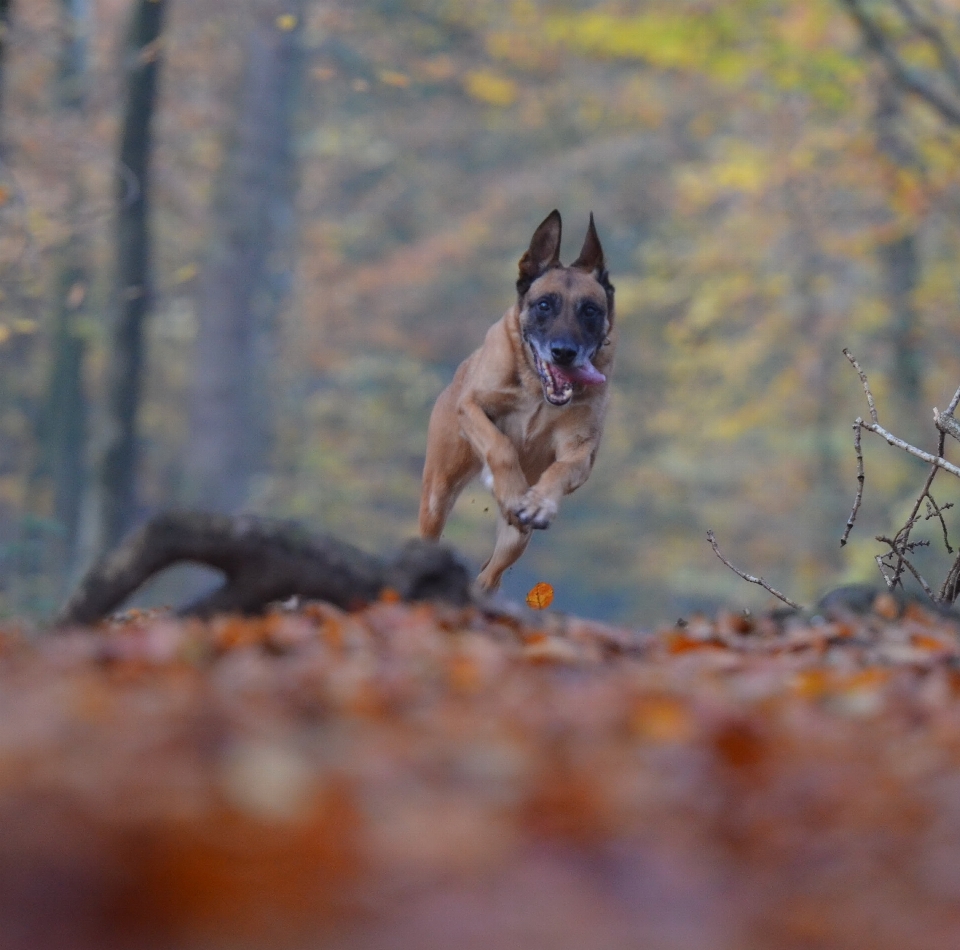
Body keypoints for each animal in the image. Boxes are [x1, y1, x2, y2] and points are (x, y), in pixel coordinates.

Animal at [418, 212, 616, 592]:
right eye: (544, 304)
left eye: (590, 310)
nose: (564, 352)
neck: (539, 390)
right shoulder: (472, 408)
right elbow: (501, 446)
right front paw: (511, 491)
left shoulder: (580, 451)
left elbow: (561, 468)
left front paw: (539, 503)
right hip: (438, 491)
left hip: (515, 540)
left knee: (490, 574)